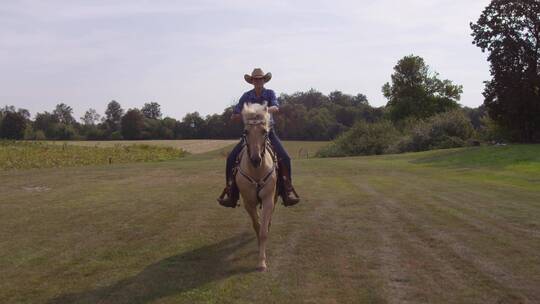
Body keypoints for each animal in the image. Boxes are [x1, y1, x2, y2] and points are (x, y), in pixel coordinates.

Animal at [236, 102, 278, 270]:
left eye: (264, 132)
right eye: (246, 131)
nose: (255, 159)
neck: (256, 170)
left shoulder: (268, 199)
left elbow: (263, 231)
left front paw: (261, 262)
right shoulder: (249, 202)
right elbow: (256, 225)